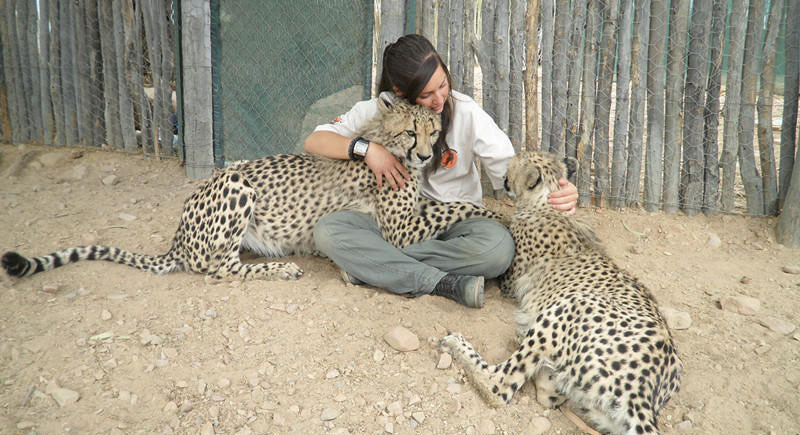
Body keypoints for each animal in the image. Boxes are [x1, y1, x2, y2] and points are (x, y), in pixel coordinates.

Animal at [3, 93, 496, 282]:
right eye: (412, 133)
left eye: (434, 131)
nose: (427, 156)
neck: (383, 144)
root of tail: (178, 235)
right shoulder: (401, 230)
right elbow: (459, 207)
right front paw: (500, 211)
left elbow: (449, 205)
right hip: (237, 181)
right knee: (219, 269)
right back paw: (282, 269)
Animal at [440, 152, 684, 435]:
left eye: (513, 165)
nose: (504, 176)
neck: (547, 198)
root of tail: (646, 391)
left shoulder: (510, 281)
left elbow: (499, 219)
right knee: (550, 394)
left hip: (571, 305)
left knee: (497, 386)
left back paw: (458, 343)